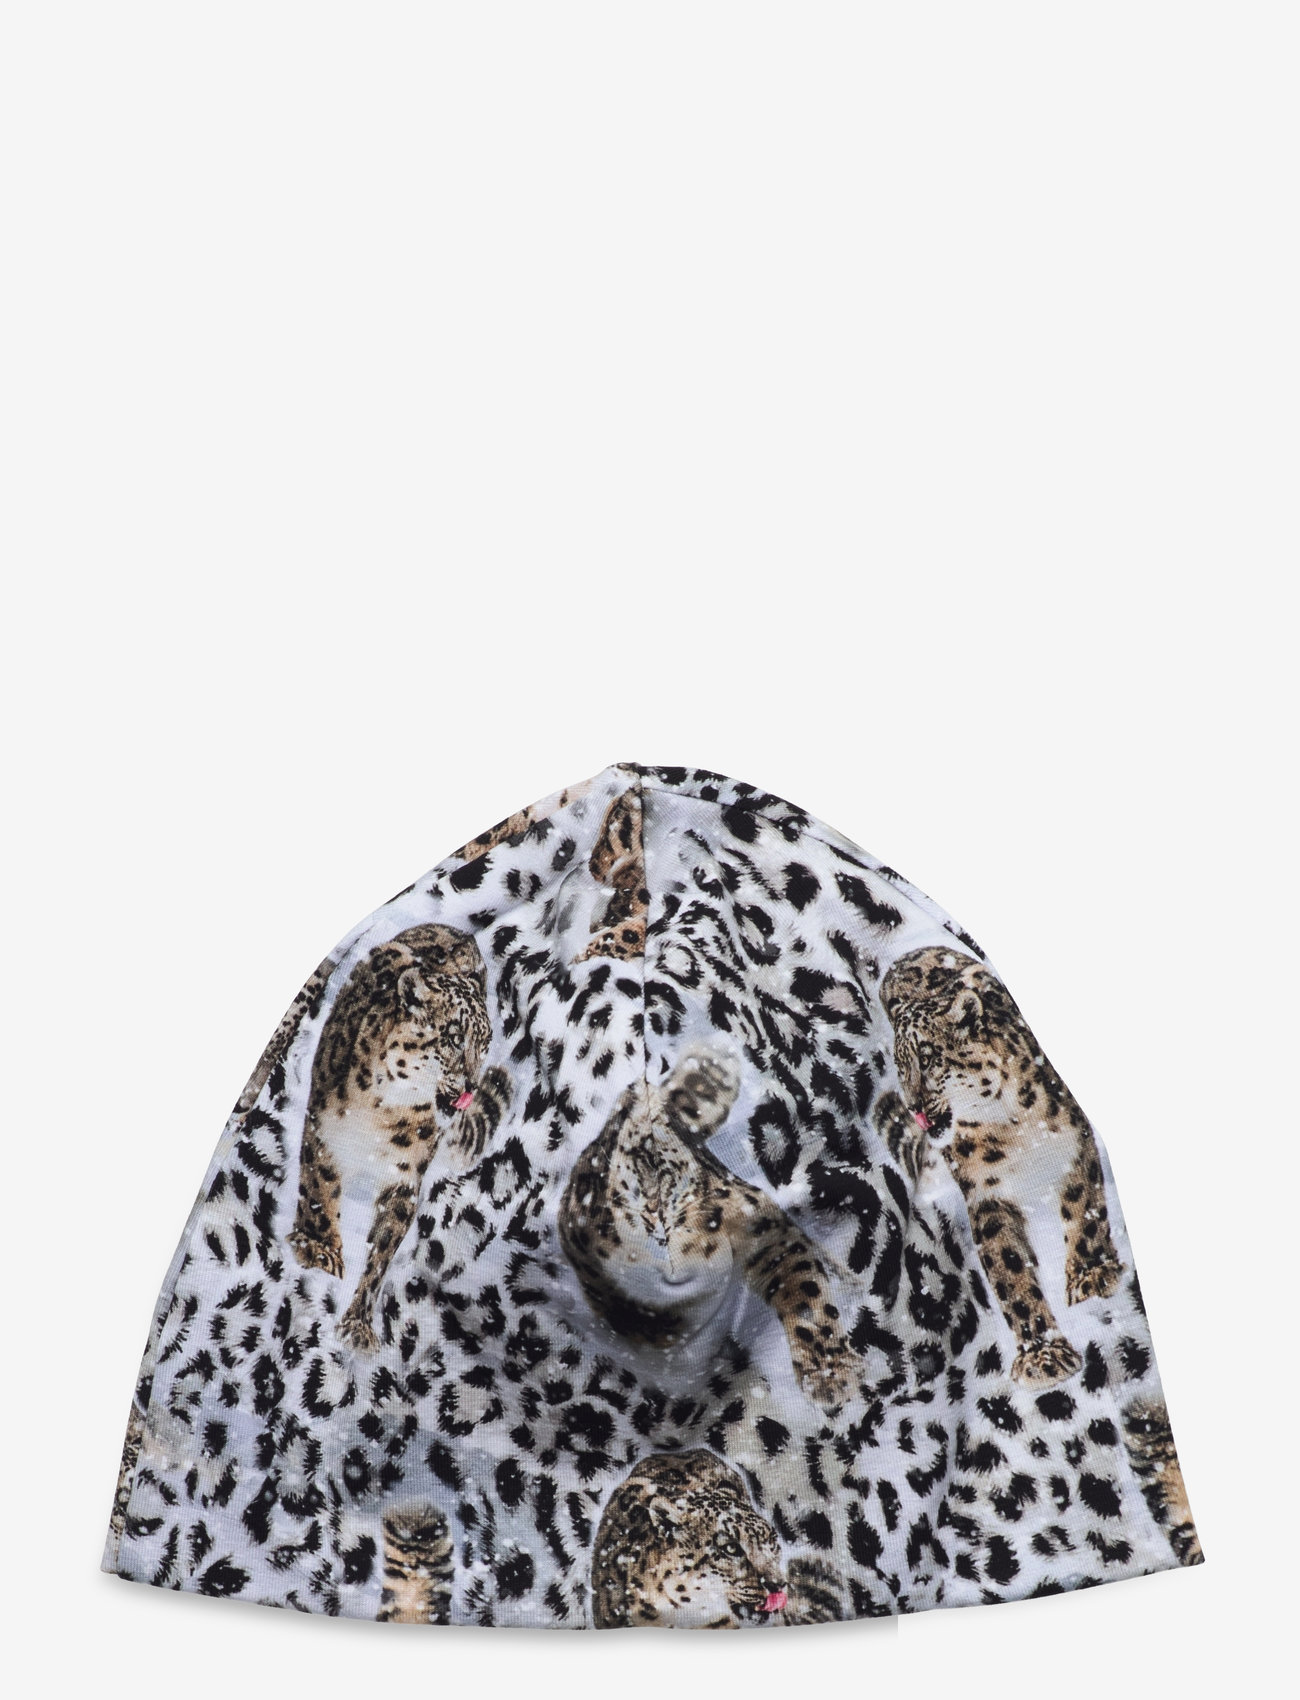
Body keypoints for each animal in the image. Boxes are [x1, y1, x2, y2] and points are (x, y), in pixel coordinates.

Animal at [288, 922, 510, 1352]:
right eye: (454, 1037)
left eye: (485, 1043)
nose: (471, 1086)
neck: (384, 1107)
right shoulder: (325, 1132)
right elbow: (319, 1190)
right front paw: (320, 1252)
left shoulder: (404, 1175)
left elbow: (383, 1250)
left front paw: (358, 1325)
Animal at [880, 944, 1123, 1389]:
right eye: (900, 1066)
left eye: (928, 1057)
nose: (915, 1108)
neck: (1010, 1125)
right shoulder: (986, 1195)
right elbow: (1009, 1272)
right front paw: (1043, 1355)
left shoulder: (1071, 1146)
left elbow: (1085, 1212)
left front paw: (1090, 1277)